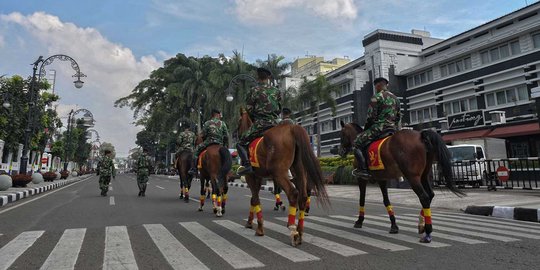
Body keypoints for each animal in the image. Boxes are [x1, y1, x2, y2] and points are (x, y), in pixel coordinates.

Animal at [239, 109, 330, 247]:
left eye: (239, 121)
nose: (235, 132)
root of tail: (291, 128)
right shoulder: (258, 177)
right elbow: (253, 200)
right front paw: (250, 222)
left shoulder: (250, 176)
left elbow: (255, 199)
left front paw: (259, 227)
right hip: (299, 169)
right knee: (303, 196)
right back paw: (300, 231)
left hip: (279, 173)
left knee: (293, 193)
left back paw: (292, 229)